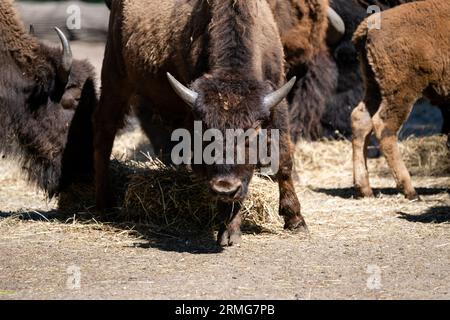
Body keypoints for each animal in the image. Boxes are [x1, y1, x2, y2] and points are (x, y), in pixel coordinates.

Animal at [94, 0, 306, 245]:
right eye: (206, 133)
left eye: (252, 134)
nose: (225, 188)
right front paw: (229, 230)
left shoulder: (277, 101)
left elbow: (284, 159)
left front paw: (296, 220)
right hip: (115, 79)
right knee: (104, 135)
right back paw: (105, 205)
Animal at [352, 0, 450, 200]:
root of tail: (368, 27)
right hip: (402, 91)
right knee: (384, 125)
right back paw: (410, 190)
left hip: (374, 85)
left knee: (361, 120)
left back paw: (365, 189)